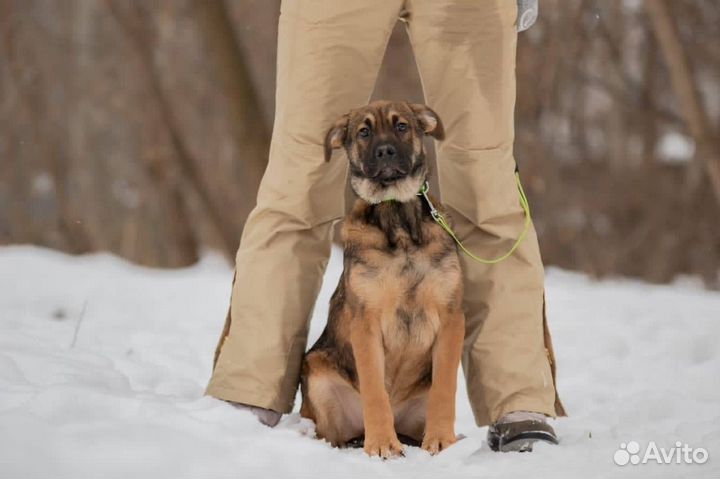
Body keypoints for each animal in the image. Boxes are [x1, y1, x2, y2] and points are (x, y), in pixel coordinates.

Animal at [300, 100, 464, 458]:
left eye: (402, 126)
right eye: (364, 132)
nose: (385, 151)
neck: (398, 218)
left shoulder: (451, 317)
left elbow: (445, 387)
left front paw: (441, 440)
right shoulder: (366, 321)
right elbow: (375, 390)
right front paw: (381, 445)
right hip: (317, 373)